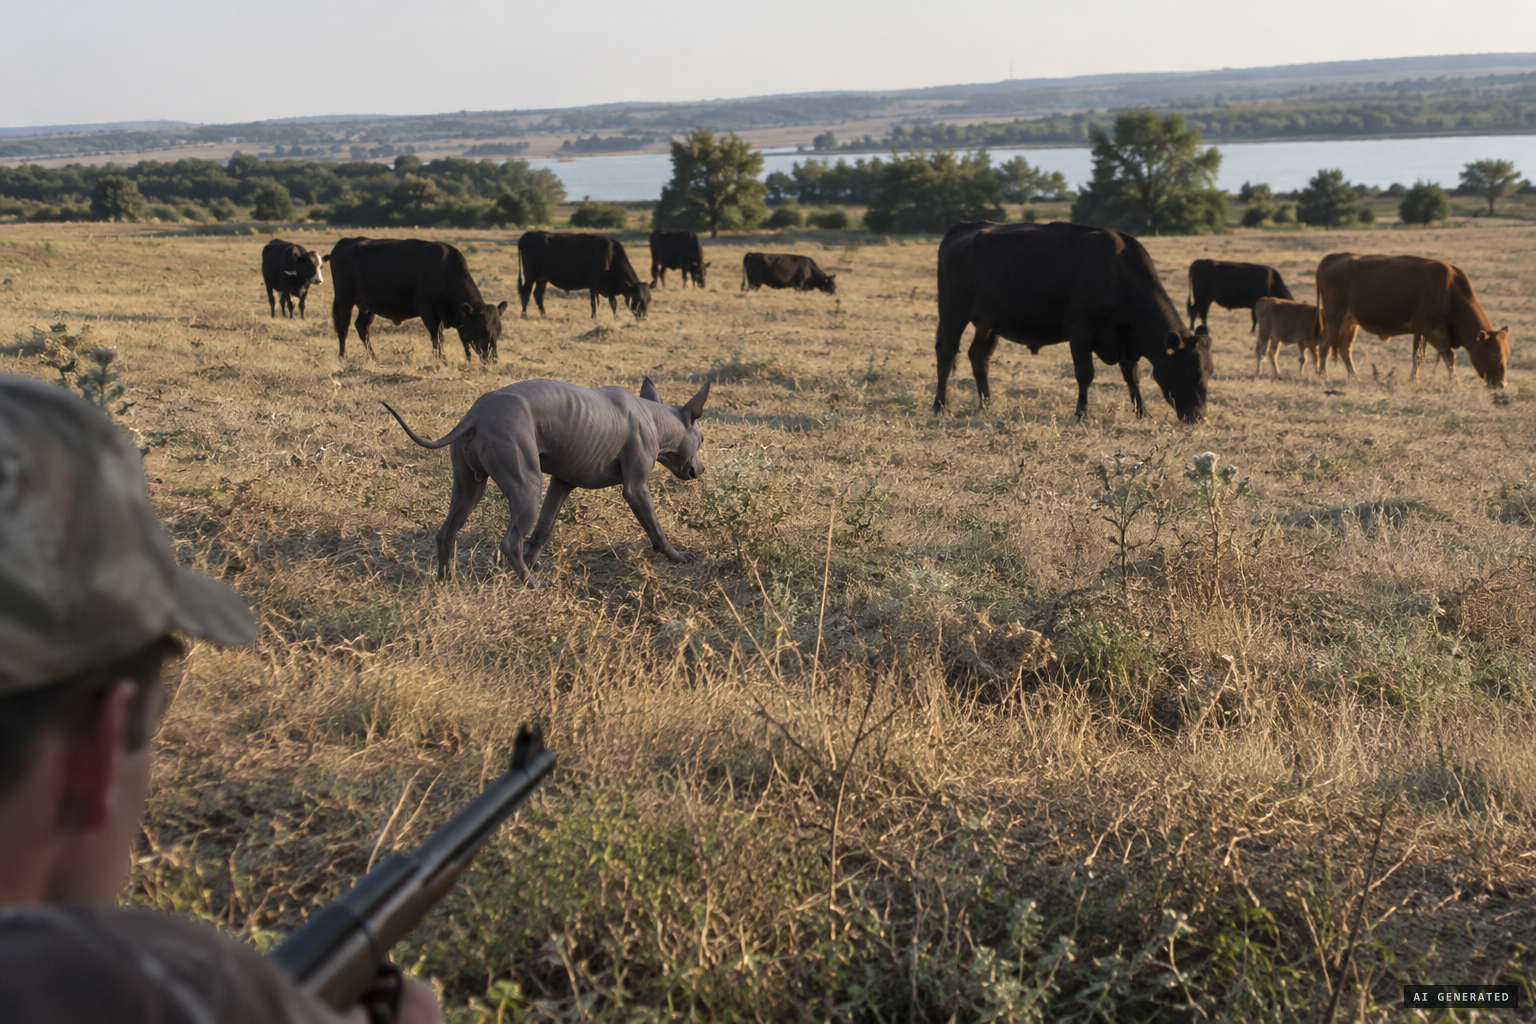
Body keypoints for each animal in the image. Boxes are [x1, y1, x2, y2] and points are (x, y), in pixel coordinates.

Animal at [324, 237, 507, 362]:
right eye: (482, 330)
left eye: (498, 331)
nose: (493, 358)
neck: (443, 271)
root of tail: (346, 242)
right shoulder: (428, 313)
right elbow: (437, 338)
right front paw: (442, 360)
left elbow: (463, 340)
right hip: (344, 301)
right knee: (343, 328)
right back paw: (343, 356)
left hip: (367, 306)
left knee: (362, 327)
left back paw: (373, 357)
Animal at [517, 231, 650, 320]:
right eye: (637, 299)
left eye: (648, 300)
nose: (643, 318)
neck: (610, 257)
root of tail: (530, 234)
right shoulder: (593, 284)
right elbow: (594, 303)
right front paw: (594, 317)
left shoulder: (609, 288)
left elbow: (613, 303)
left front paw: (615, 317)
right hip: (529, 277)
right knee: (525, 294)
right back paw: (524, 315)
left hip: (542, 279)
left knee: (538, 295)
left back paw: (544, 315)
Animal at [934, 220, 1212, 423]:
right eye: (1193, 374)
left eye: (1209, 373)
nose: (1199, 417)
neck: (1117, 274)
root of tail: (966, 226)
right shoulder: (1080, 332)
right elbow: (1085, 374)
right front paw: (1081, 413)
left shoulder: (1125, 340)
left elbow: (1132, 377)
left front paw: (1142, 412)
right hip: (952, 315)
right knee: (946, 355)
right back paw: (940, 405)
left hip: (987, 322)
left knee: (978, 357)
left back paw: (987, 404)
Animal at [1315, 253, 1509, 387]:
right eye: (1495, 354)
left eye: (1507, 355)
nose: (1502, 384)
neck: (1449, 292)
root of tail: (1335, 257)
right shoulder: (1423, 330)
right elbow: (1418, 357)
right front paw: (1414, 380)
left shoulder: (1437, 334)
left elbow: (1449, 357)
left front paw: (1454, 381)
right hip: (1335, 318)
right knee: (1325, 344)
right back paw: (1323, 374)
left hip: (1350, 323)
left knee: (1344, 348)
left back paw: (1353, 376)